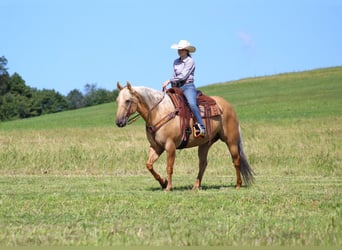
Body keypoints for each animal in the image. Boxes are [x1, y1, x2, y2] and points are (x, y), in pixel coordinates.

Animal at [115, 82, 254, 191]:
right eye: (117, 101)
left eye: (128, 100)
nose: (119, 122)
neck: (159, 112)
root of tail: (228, 106)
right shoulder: (156, 147)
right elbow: (149, 165)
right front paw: (163, 182)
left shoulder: (170, 146)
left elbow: (169, 167)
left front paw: (168, 187)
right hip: (205, 144)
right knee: (203, 163)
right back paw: (196, 186)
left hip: (231, 141)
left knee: (236, 160)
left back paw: (238, 185)